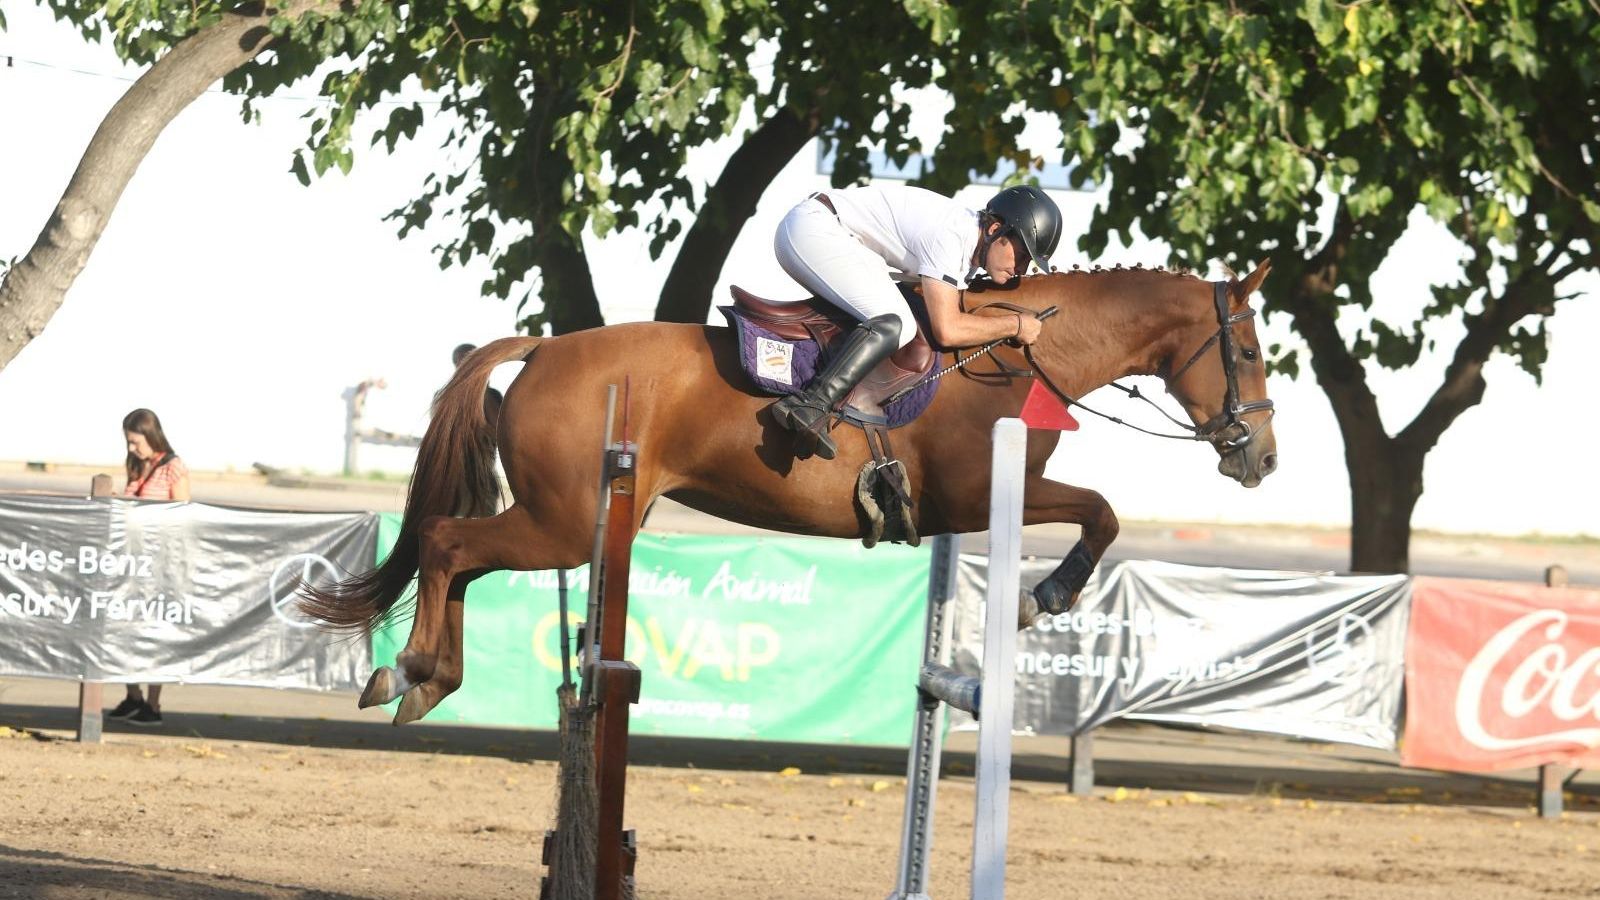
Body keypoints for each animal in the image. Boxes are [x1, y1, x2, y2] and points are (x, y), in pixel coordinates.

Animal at [301, 261, 1279, 725]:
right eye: (1251, 350)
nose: (1262, 459)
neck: (1018, 354)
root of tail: (542, 348)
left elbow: (1101, 510)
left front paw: (1044, 596)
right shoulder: (978, 496)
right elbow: (1102, 511)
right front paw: (1043, 598)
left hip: (572, 518)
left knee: (460, 559)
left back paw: (425, 678)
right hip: (566, 521)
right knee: (448, 545)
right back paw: (409, 672)